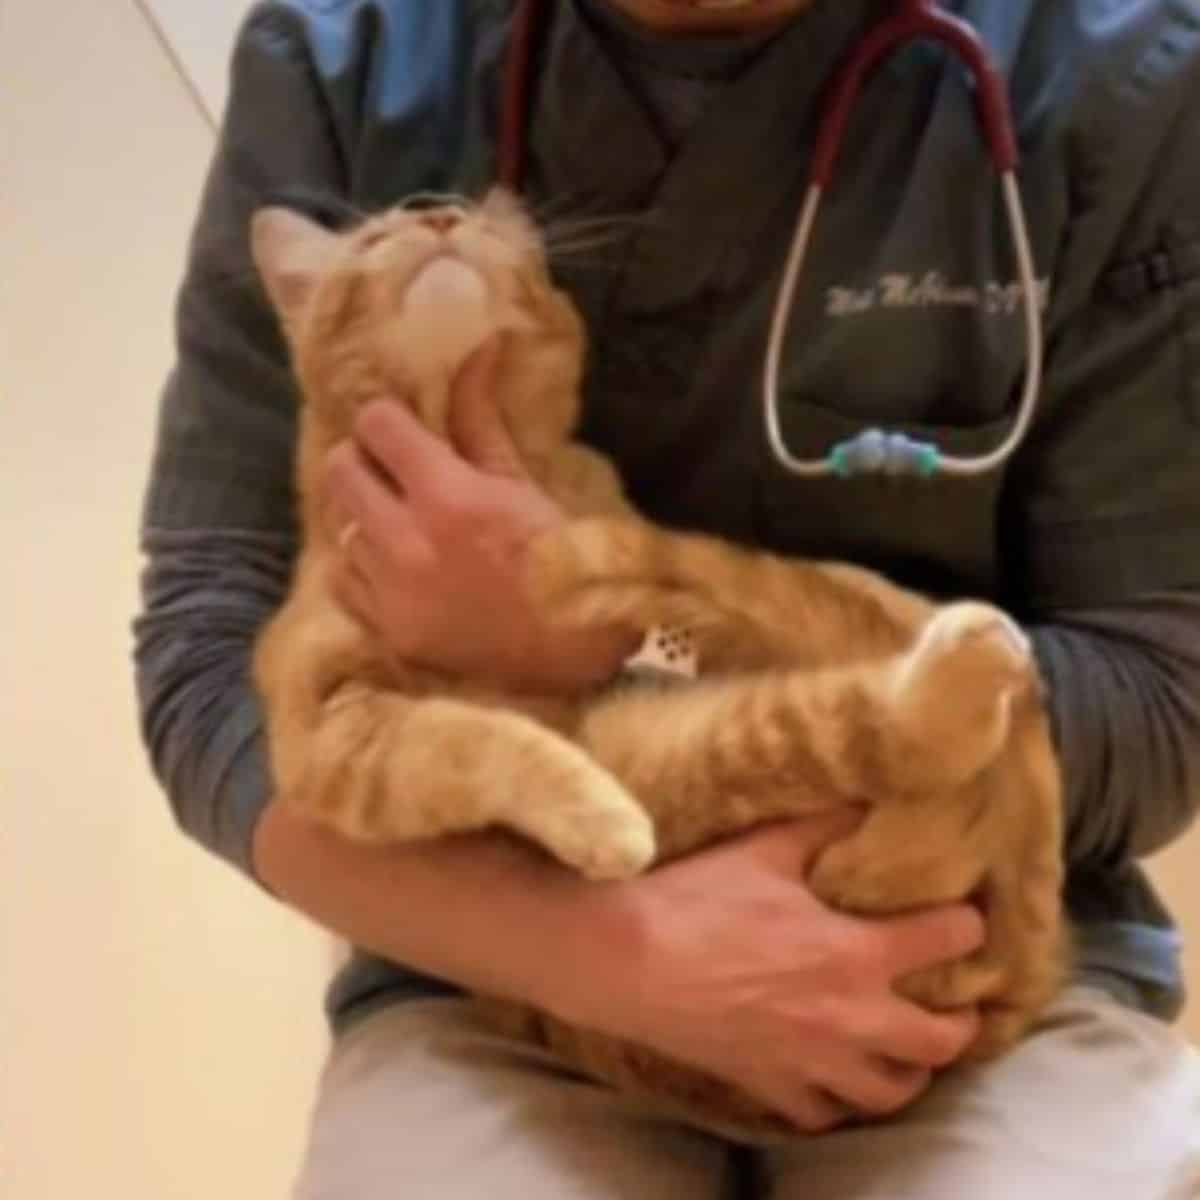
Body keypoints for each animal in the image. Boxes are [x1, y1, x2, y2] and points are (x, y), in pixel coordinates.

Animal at [248, 187, 1065, 1132]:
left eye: (473, 221)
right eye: (378, 234)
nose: (437, 214)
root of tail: (1012, 984)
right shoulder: (330, 737)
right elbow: (474, 740)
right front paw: (593, 816)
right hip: (682, 752)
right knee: (891, 724)